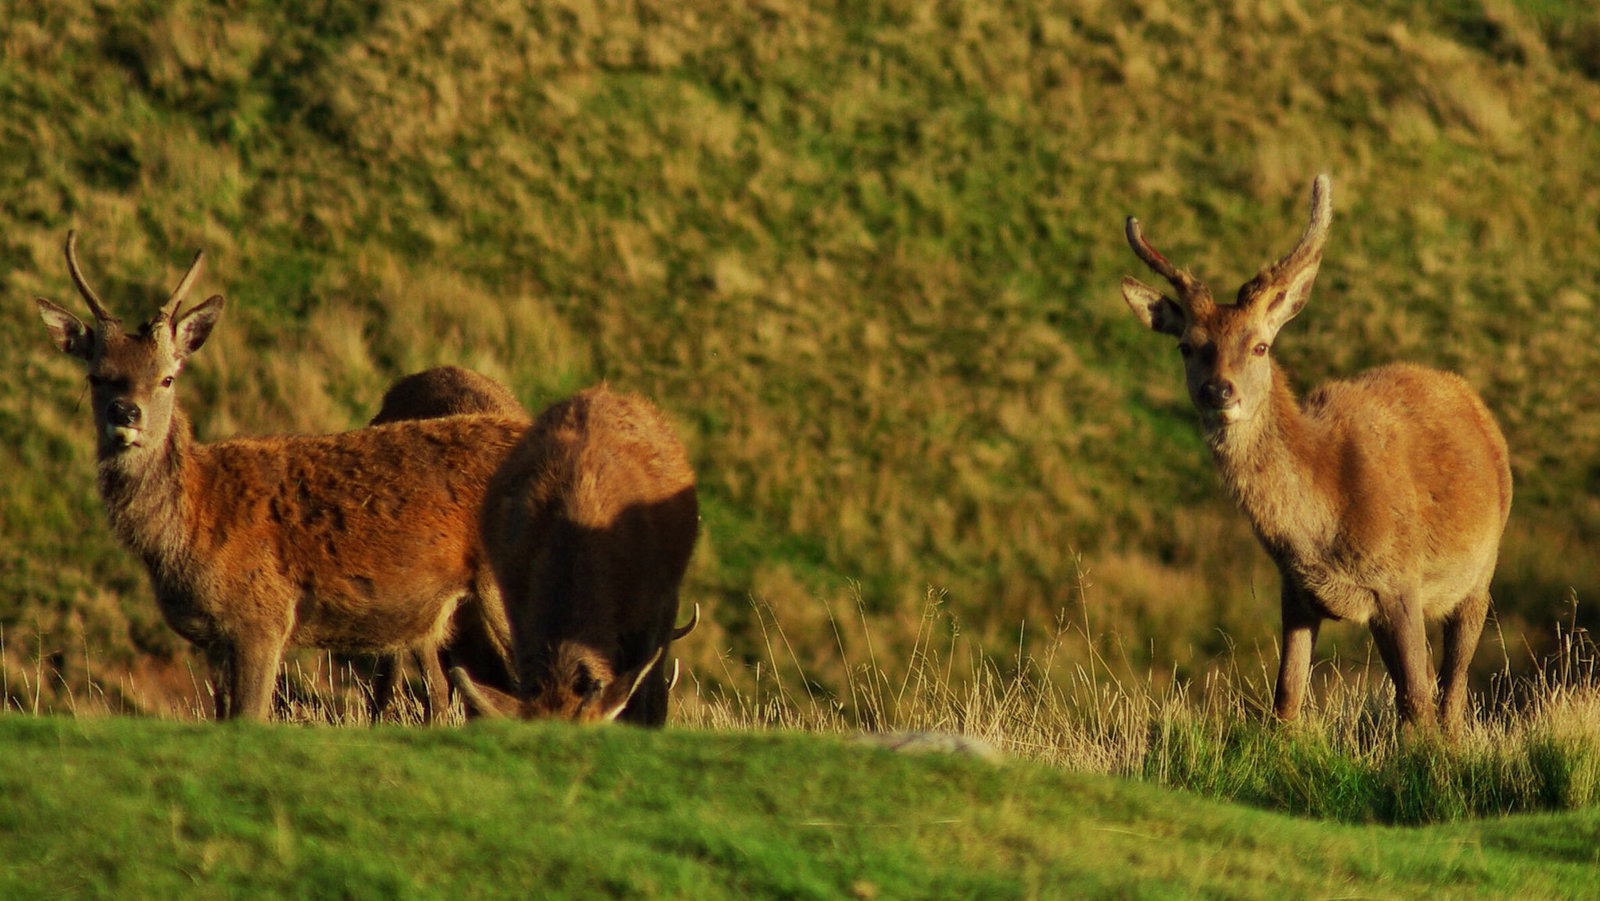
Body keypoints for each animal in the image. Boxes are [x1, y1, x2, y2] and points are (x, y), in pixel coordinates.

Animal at [32, 235, 524, 726]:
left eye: (167, 377)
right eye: (96, 376)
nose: (125, 413)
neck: (193, 525)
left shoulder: (262, 618)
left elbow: (251, 717)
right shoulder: (213, 639)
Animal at [1113, 176, 1510, 732]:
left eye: (1259, 346)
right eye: (1186, 346)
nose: (1219, 391)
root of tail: (1471, 399)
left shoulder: (1400, 580)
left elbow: (1419, 700)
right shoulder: (1296, 592)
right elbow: (1286, 699)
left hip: (1481, 571)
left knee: (1450, 694)